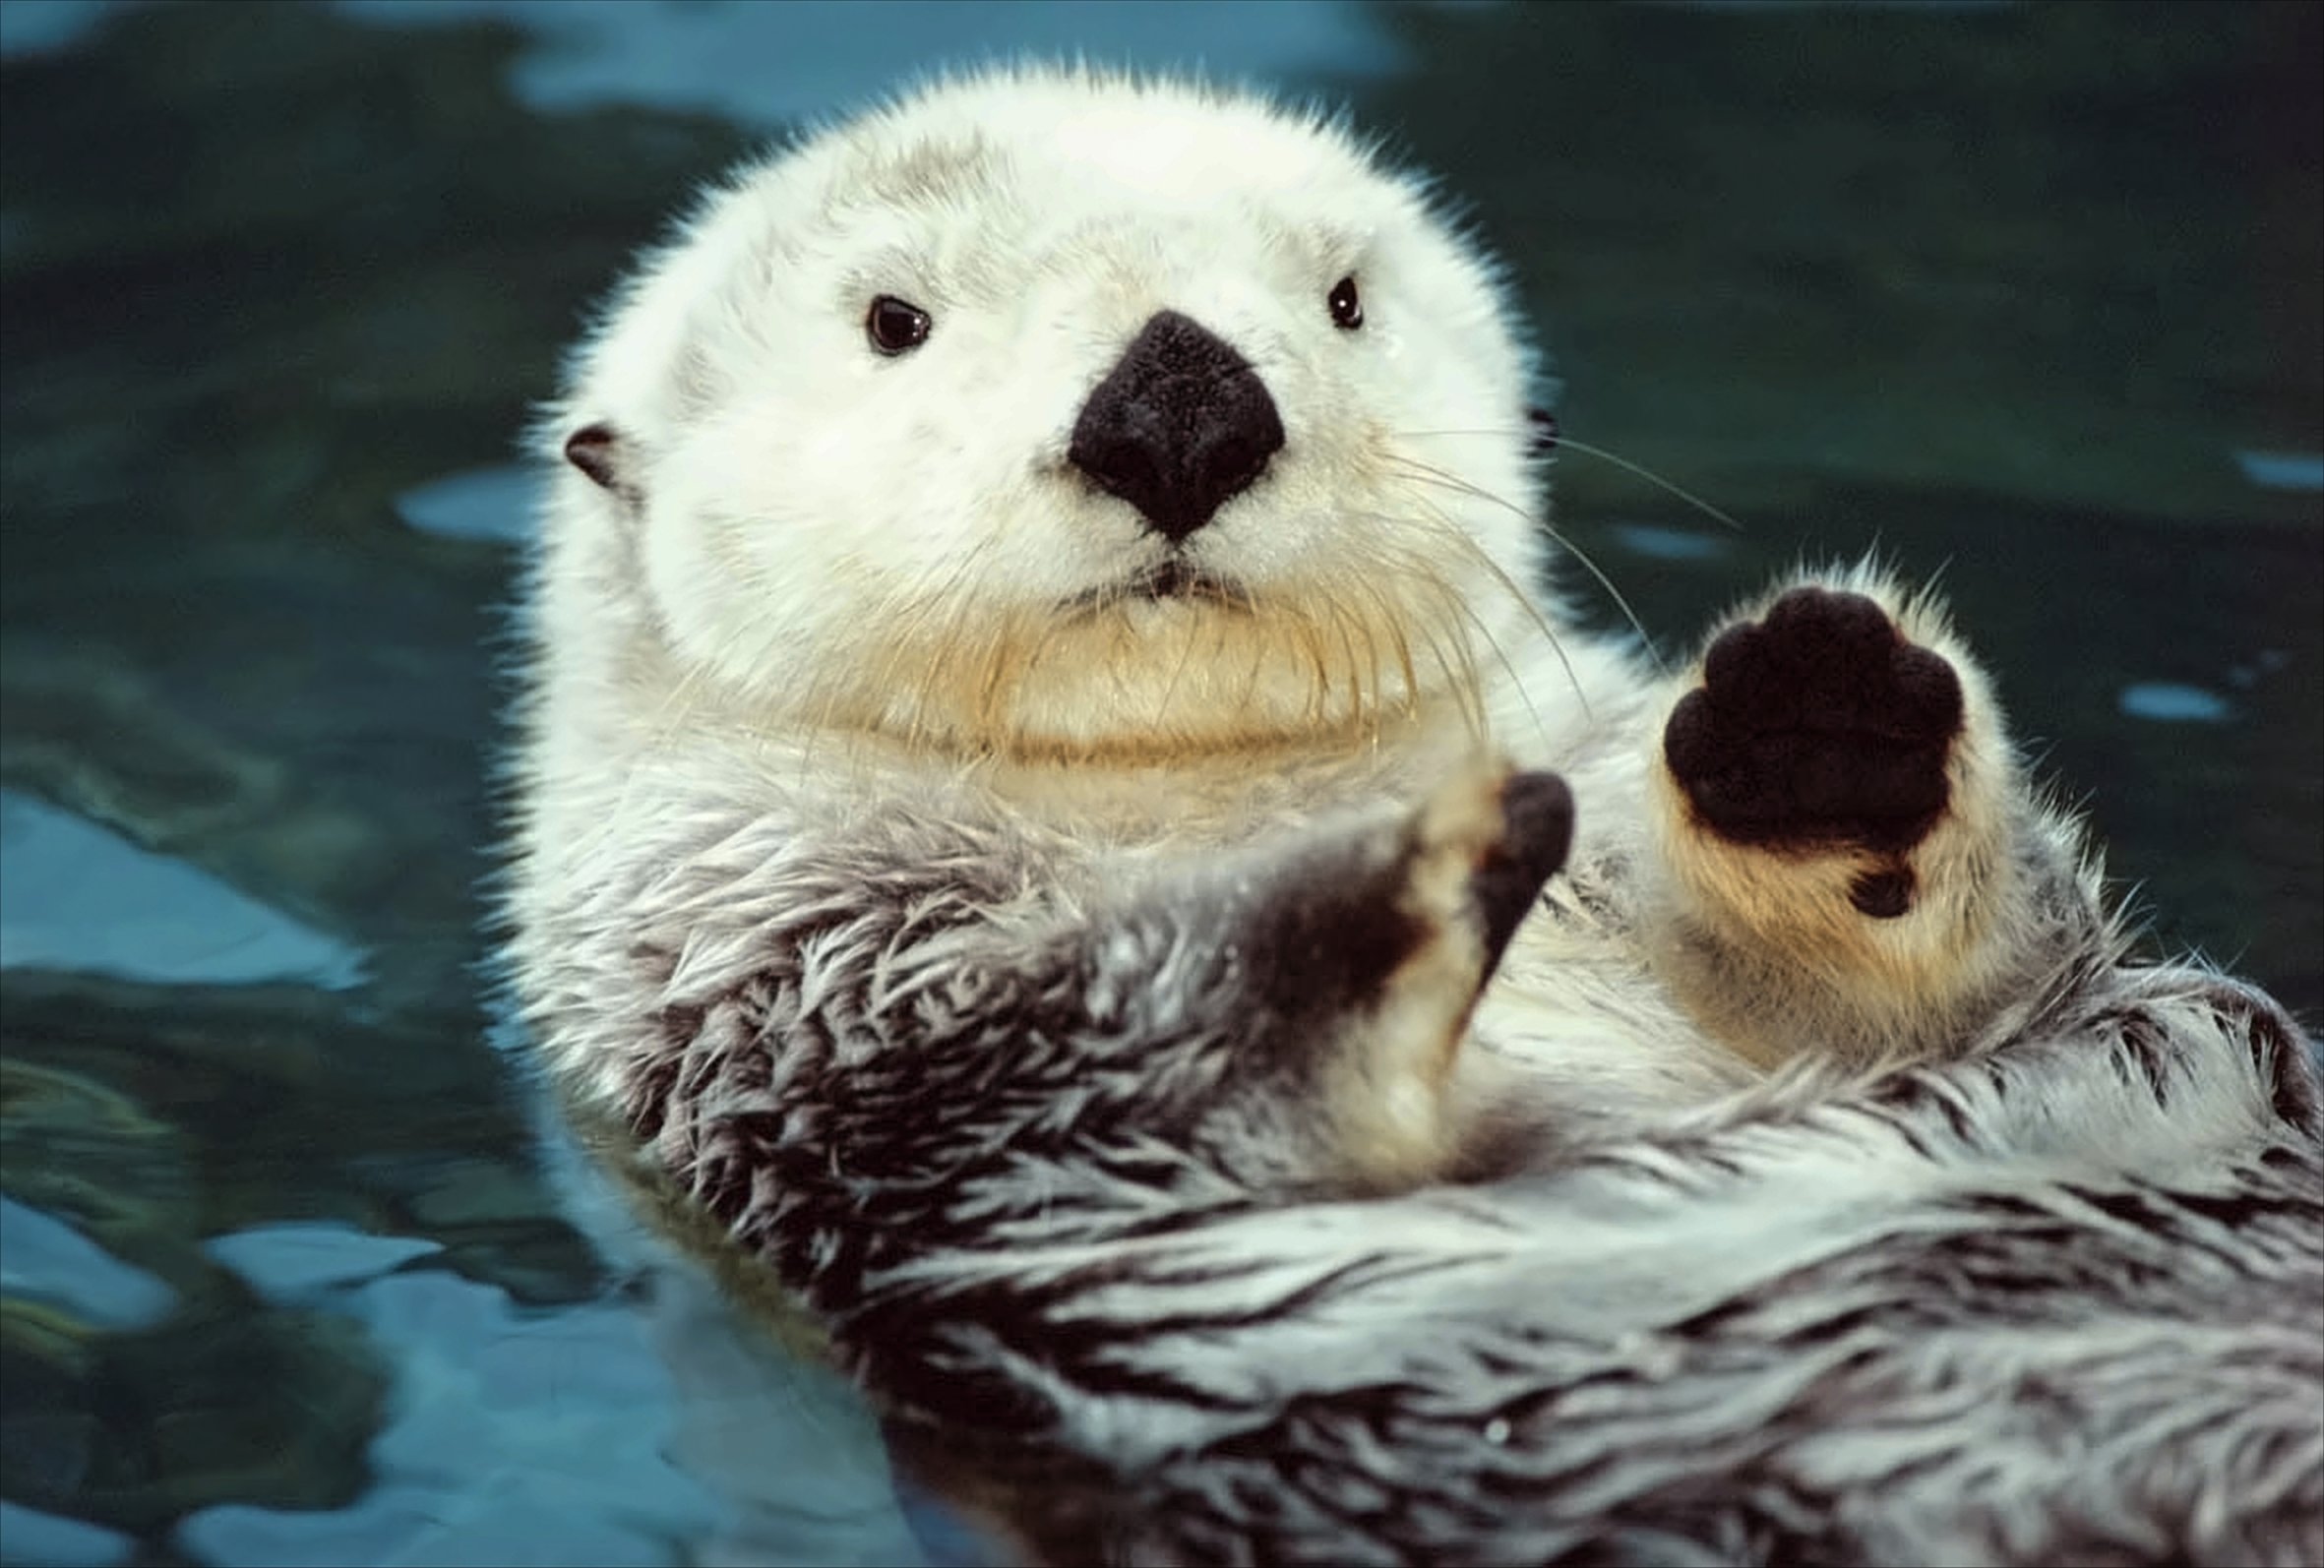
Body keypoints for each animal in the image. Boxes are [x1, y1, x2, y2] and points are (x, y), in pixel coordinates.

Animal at [506, 66, 2323, 1567]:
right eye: (895, 317)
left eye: (1342, 300)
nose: (1181, 407)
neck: (1184, 800)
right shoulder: (793, 996)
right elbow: (1075, 1056)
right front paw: (1403, 870)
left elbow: (1961, 987)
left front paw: (1820, 711)